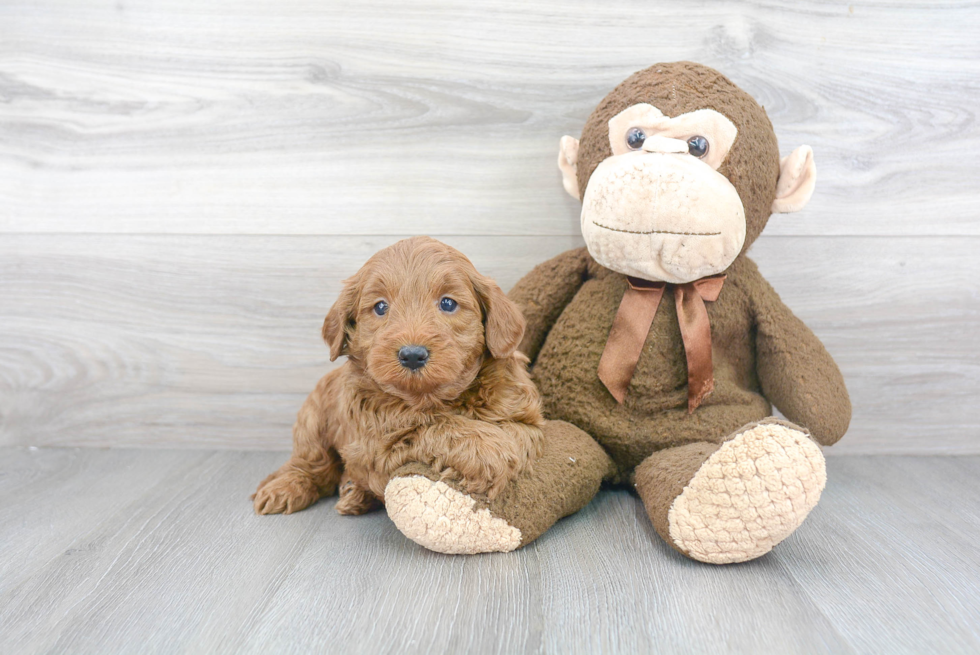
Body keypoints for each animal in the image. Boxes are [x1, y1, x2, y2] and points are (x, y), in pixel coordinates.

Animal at [253, 236, 544, 516]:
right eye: (381, 307)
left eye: (448, 303)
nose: (412, 355)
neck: (431, 398)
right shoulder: (375, 444)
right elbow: (429, 425)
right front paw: (487, 450)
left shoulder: (525, 417)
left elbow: (516, 434)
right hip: (313, 419)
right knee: (311, 464)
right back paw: (285, 488)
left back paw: (353, 493)